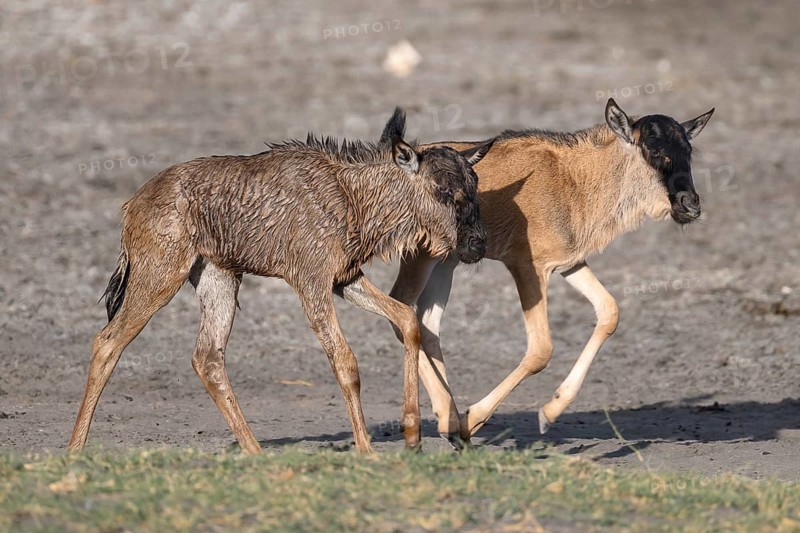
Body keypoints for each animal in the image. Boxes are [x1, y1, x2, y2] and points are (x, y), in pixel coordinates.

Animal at [67, 108, 492, 454]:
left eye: (473, 187)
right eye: (442, 191)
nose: (476, 245)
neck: (354, 201)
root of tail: (131, 207)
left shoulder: (345, 278)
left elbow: (407, 319)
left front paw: (412, 436)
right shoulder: (310, 281)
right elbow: (346, 361)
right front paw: (366, 450)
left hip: (218, 278)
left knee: (207, 357)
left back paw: (256, 452)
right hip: (159, 273)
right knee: (107, 342)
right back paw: (74, 450)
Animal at [390, 98, 715, 446]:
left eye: (688, 149)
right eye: (652, 150)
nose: (690, 204)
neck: (573, 180)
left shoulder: (570, 263)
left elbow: (609, 311)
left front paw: (550, 410)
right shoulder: (527, 266)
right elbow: (541, 350)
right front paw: (474, 419)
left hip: (446, 262)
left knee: (427, 325)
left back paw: (447, 417)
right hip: (421, 257)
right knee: (402, 309)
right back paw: (451, 420)